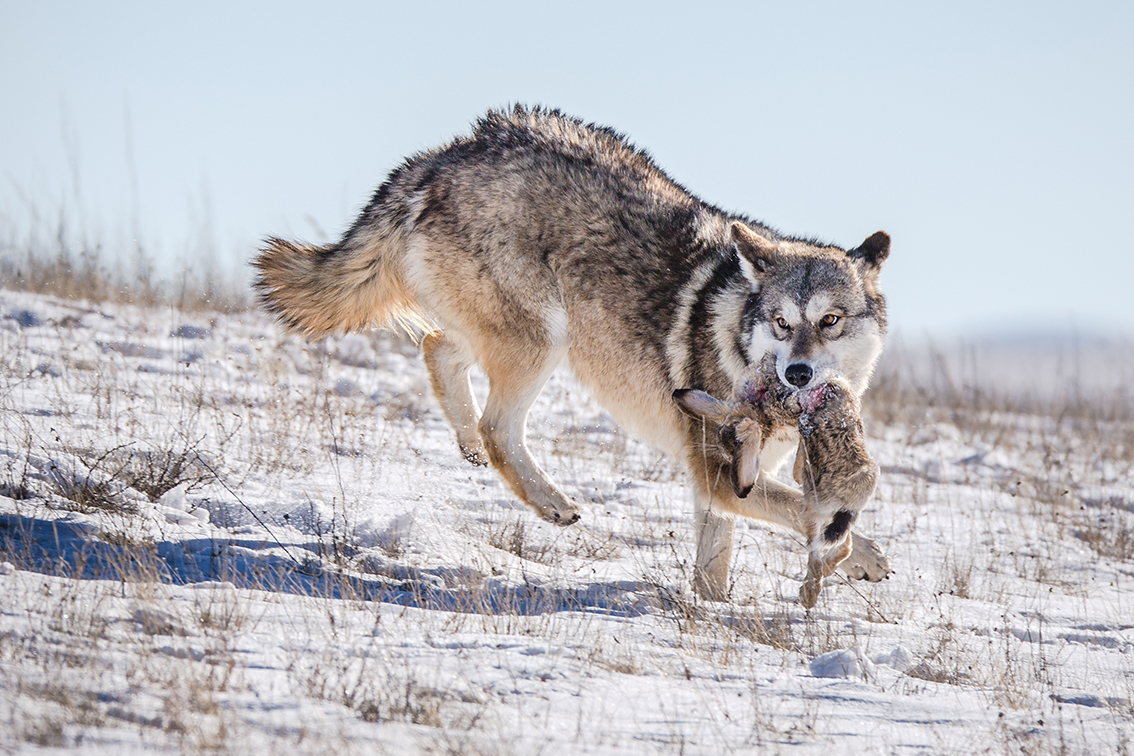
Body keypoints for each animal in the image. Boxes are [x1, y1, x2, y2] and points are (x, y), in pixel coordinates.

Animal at [257, 104, 893, 602]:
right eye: (783, 323)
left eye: (829, 322)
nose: (798, 373)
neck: (737, 338)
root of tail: (449, 152)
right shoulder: (715, 471)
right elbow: (810, 512)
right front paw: (862, 556)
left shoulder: (720, 484)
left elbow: (717, 563)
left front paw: (711, 610)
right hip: (544, 342)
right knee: (496, 426)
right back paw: (552, 503)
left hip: (504, 334)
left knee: (438, 352)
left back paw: (470, 449)